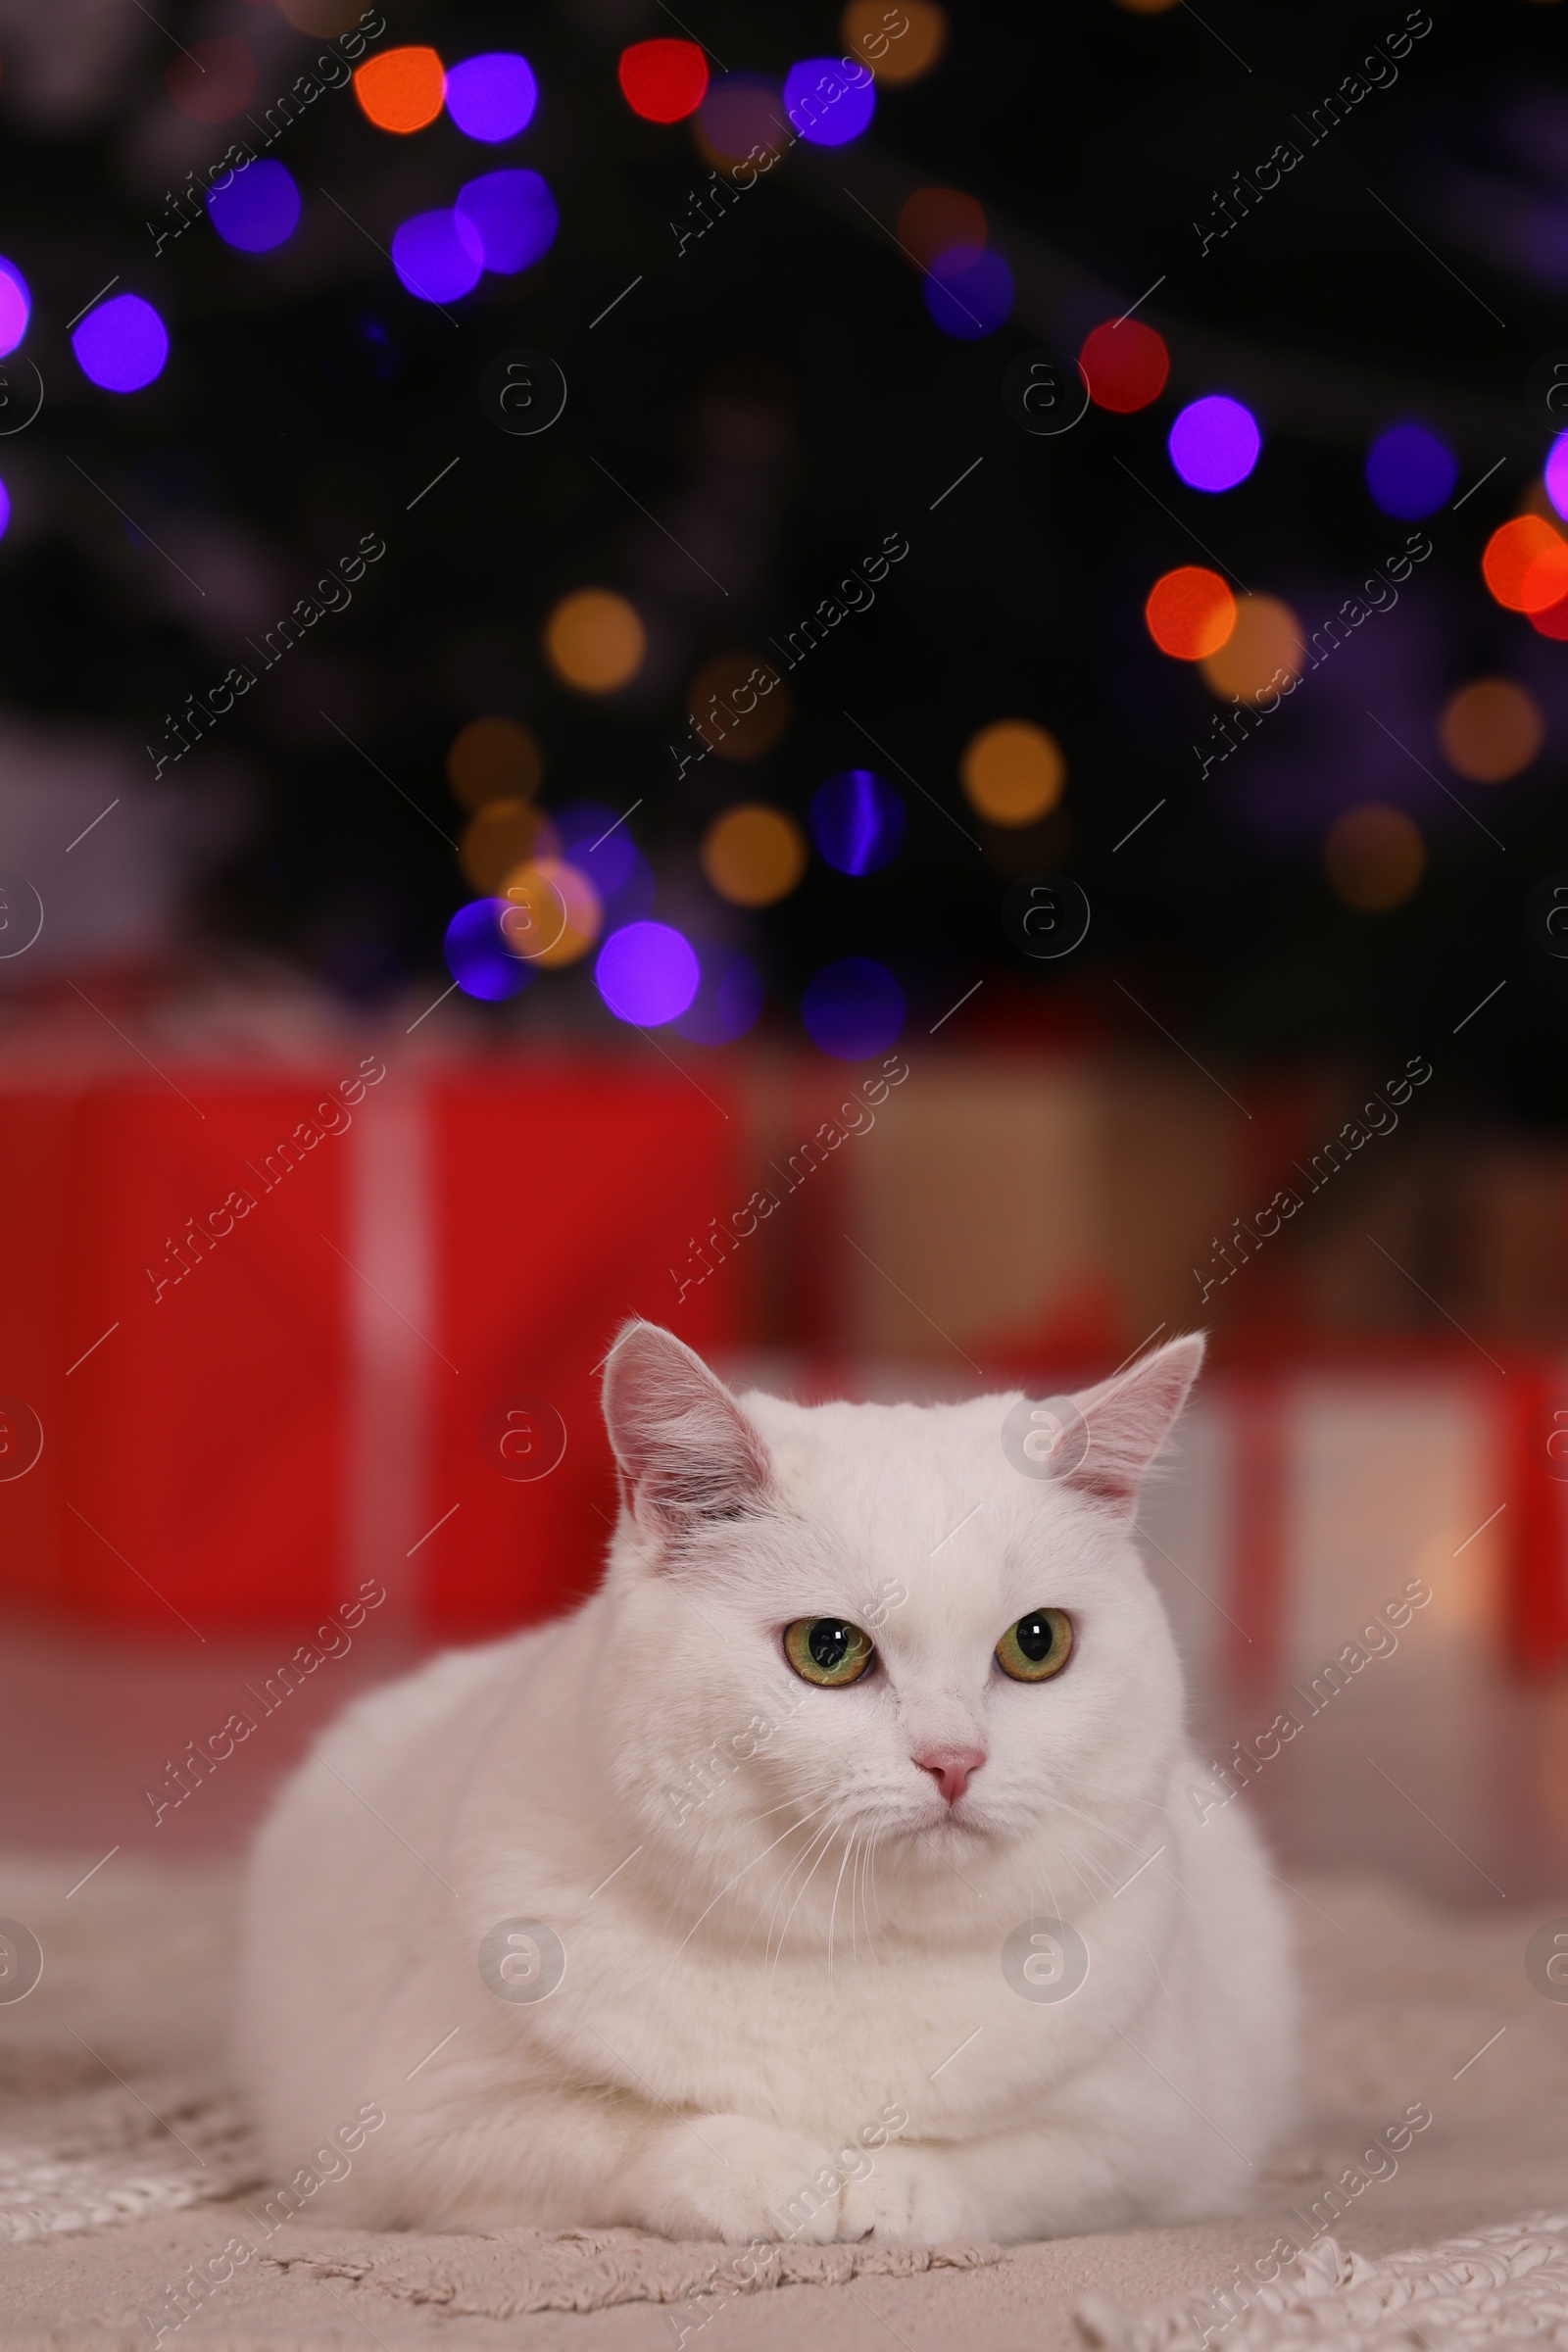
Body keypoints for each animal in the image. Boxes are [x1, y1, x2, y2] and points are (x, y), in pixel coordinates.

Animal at [230, 1326, 1288, 2238]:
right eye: (827, 1649)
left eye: (1038, 1644)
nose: (955, 1759)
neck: (852, 1949)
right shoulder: (415, 2126)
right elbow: (624, 2131)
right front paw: (777, 2177)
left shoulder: (1154, 2135)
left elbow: (1019, 2166)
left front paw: (896, 2188)